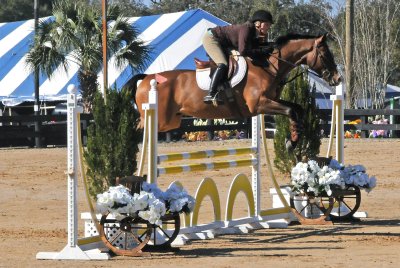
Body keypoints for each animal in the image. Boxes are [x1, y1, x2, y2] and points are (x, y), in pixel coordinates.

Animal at [125, 33, 340, 149]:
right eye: (325, 54)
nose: (337, 78)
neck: (267, 67)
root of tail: (146, 78)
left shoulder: (269, 101)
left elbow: (297, 109)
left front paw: (293, 140)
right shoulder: (259, 104)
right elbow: (291, 111)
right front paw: (291, 143)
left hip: (170, 121)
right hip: (157, 119)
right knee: (136, 130)